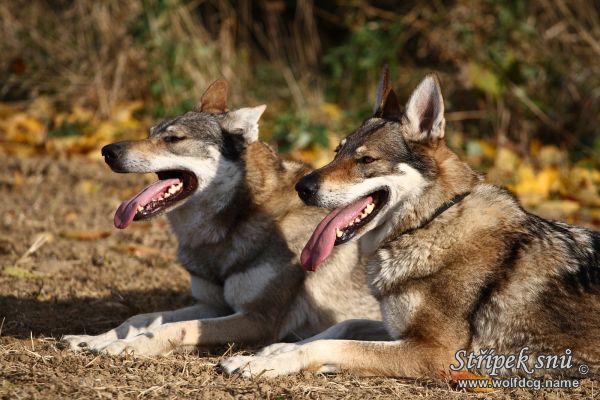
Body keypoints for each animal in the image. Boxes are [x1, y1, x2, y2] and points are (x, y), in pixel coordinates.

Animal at [59, 79, 380, 354]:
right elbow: (139, 318)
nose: (107, 151)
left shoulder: (257, 319)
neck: (235, 224)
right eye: (150, 133)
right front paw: (91, 340)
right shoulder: (213, 306)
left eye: (173, 138)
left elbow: (175, 328)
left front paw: (126, 346)